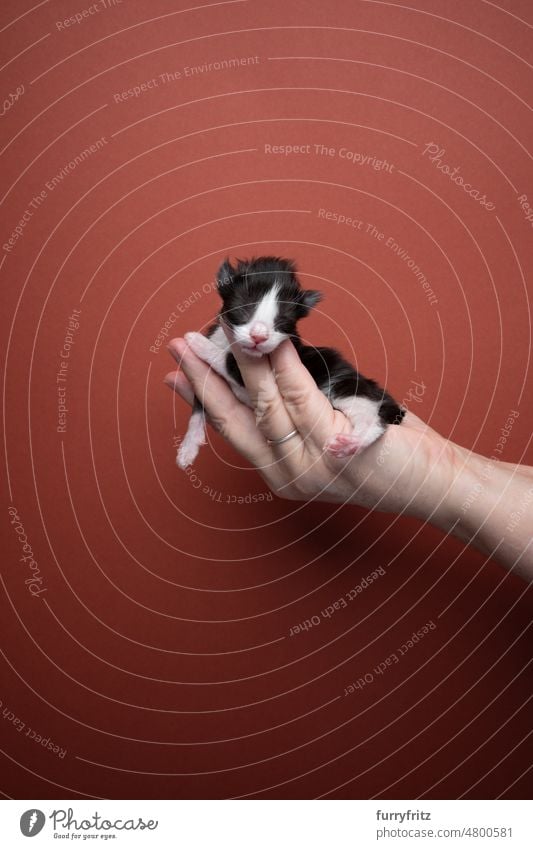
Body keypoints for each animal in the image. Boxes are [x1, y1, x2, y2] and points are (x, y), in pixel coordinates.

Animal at [175, 258, 404, 470]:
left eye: (281, 321)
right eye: (243, 309)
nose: (259, 336)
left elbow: (227, 361)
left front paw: (198, 342)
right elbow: (197, 407)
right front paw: (188, 448)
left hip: (345, 385)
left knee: (372, 418)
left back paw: (353, 442)